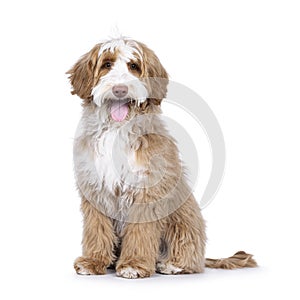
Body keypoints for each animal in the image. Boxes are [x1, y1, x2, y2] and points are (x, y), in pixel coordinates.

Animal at [66, 36, 255, 278]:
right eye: (107, 64)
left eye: (134, 66)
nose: (120, 90)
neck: (117, 130)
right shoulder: (95, 188)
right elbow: (96, 229)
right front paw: (93, 261)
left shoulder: (146, 189)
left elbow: (140, 232)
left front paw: (134, 264)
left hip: (184, 219)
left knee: (189, 255)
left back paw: (173, 264)